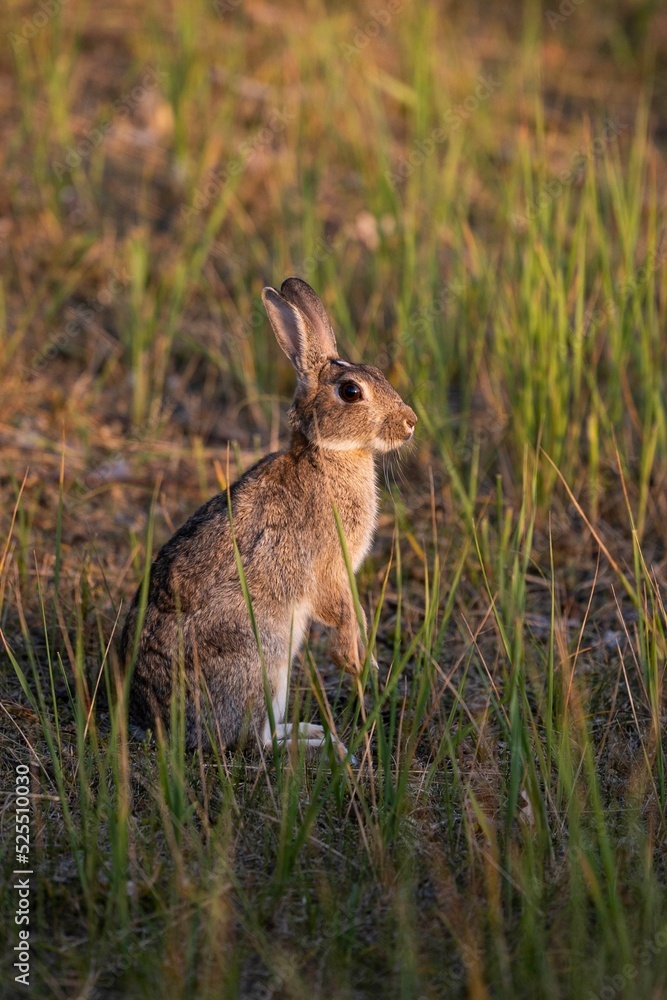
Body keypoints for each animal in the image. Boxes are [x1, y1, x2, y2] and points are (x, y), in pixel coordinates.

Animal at [119, 277, 417, 754]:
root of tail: (157, 722)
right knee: (255, 740)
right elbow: (339, 610)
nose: (410, 423)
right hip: (264, 657)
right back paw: (320, 742)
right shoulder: (326, 567)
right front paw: (356, 660)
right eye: (351, 391)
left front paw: (364, 659)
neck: (328, 455)